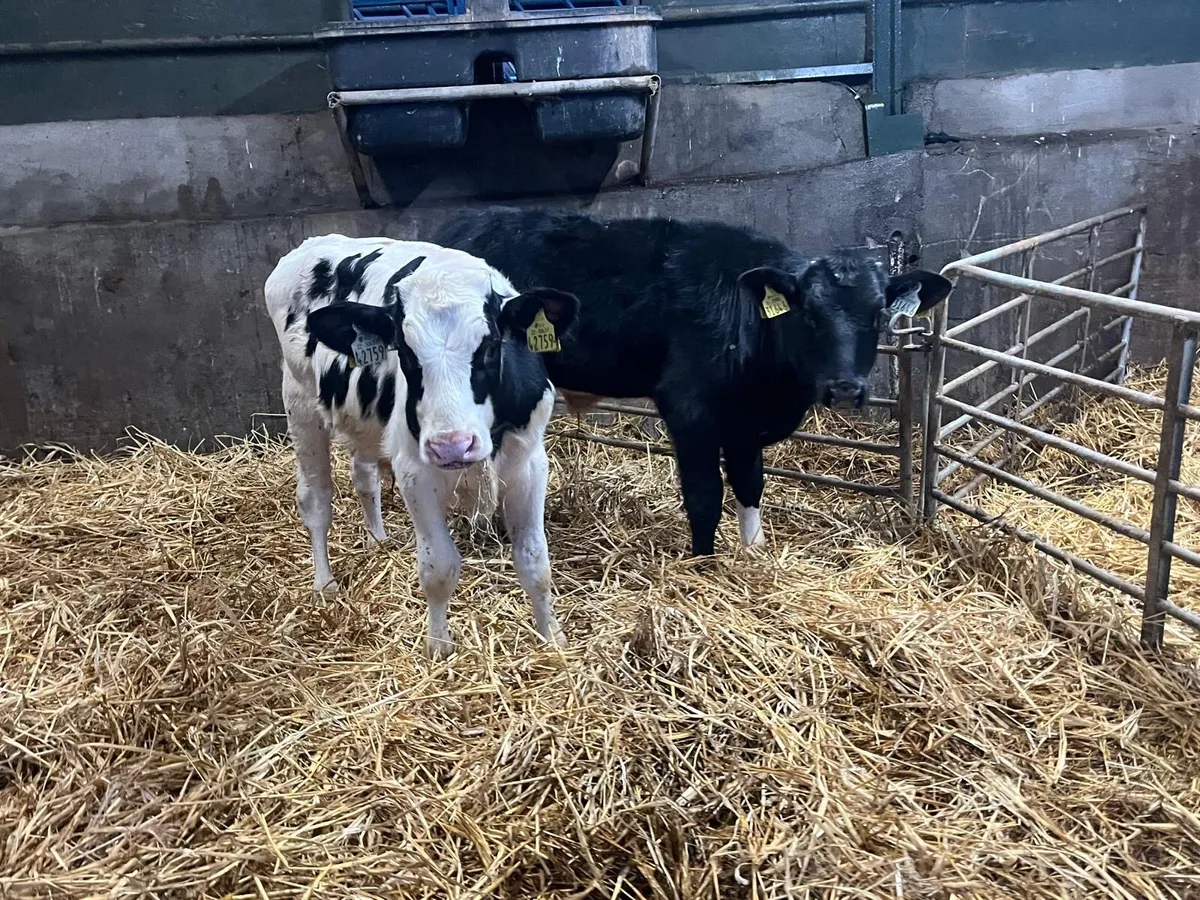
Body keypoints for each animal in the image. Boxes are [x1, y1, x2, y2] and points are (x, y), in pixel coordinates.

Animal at [264, 235, 579, 658]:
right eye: (405, 350)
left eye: (491, 346)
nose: (452, 447)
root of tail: (317, 241)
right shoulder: (416, 471)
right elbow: (439, 567)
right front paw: (438, 646)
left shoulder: (529, 462)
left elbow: (535, 562)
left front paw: (552, 638)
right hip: (299, 401)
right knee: (315, 499)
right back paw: (324, 583)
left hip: (363, 424)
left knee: (363, 476)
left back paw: (378, 538)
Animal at [434, 209, 952, 557]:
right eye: (808, 313)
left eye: (879, 315)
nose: (845, 388)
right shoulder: (690, 410)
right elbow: (705, 497)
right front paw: (704, 564)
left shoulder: (744, 424)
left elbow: (750, 484)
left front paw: (753, 552)